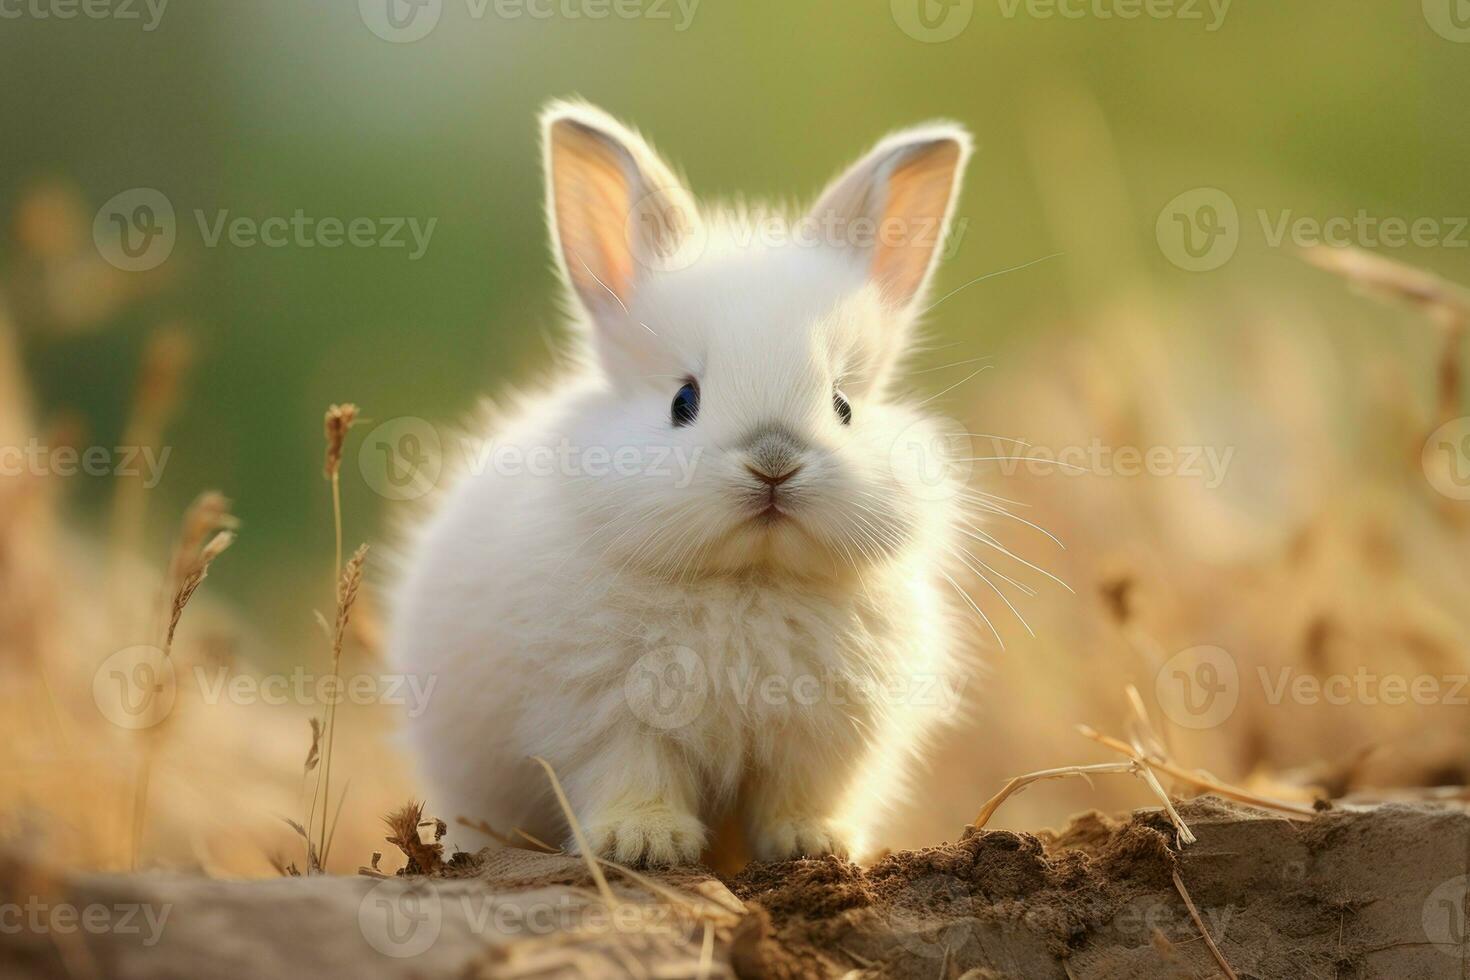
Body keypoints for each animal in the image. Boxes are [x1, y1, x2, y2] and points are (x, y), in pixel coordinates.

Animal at [388, 99, 976, 863]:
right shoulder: (608, 718)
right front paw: (644, 843)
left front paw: (814, 843)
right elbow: (634, 773)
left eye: (844, 404)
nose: (773, 461)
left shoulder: (824, 738)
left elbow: (801, 793)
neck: (748, 579)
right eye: (683, 401)